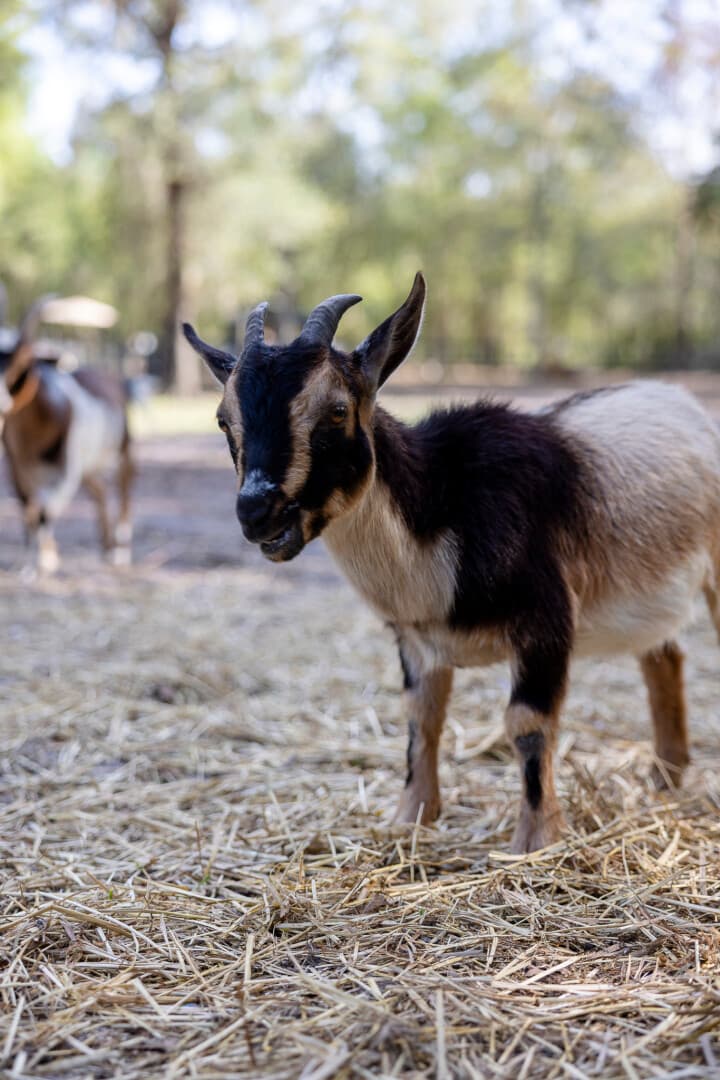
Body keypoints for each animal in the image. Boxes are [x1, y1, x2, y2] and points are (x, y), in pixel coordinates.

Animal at [0, 297, 134, 573]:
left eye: (22, 362)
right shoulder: (17, 468)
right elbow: (28, 508)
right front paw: (33, 560)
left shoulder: (67, 471)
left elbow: (43, 511)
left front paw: (45, 562)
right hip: (88, 468)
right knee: (99, 491)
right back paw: (106, 546)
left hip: (124, 448)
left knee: (126, 488)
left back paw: (121, 551)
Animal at [183, 274, 720, 852]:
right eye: (223, 420)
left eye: (337, 411)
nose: (257, 513)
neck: (446, 505)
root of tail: (681, 399)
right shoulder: (417, 638)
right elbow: (422, 719)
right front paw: (411, 818)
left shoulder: (548, 620)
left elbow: (527, 722)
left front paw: (535, 840)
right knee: (664, 656)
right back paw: (664, 779)